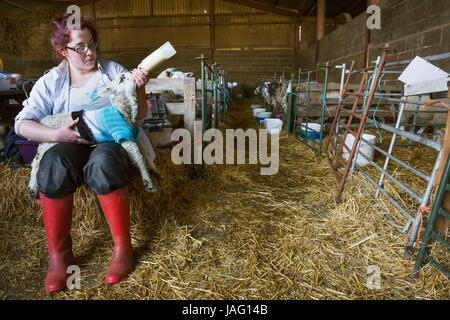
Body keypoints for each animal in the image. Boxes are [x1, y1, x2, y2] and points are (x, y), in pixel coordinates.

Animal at [27, 72, 162, 200]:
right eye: (122, 79)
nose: (135, 73)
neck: (123, 110)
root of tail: (43, 120)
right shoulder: (122, 136)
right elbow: (139, 157)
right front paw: (148, 183)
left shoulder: (133, 135)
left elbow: (145, 152)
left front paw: (154, 170)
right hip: (49, 142)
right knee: (36, 163)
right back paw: (32, 189)